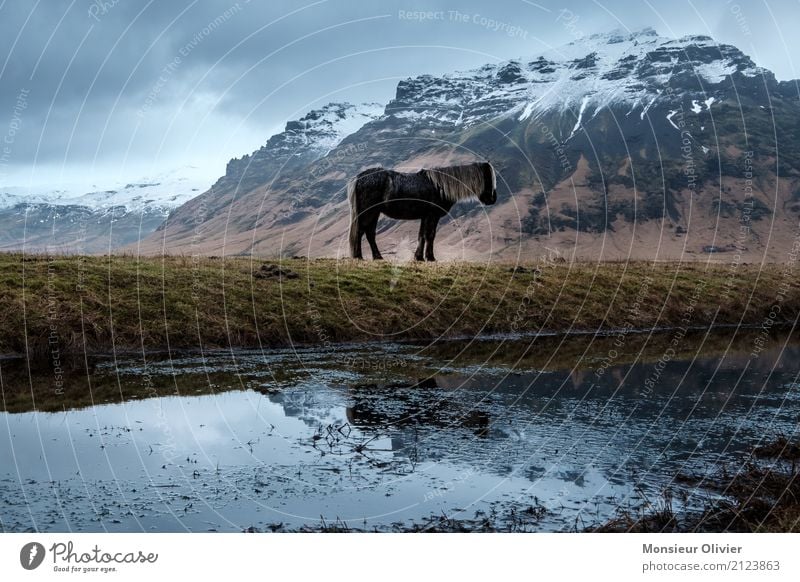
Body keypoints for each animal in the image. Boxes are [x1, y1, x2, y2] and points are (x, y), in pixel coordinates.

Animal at [346, 161, 496, 262]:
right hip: (368, 213)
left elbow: (422, 236)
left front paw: (419, 257)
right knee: (361, 232)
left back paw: (377, 257)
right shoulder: (432, 216)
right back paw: (359, 256)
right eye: (488, 178)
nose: (493, 199)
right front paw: (430, 257)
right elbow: (430, 235)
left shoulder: (425, 217)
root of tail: (359, 178)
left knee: (369, 234)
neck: (440, 187)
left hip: (374, 213)